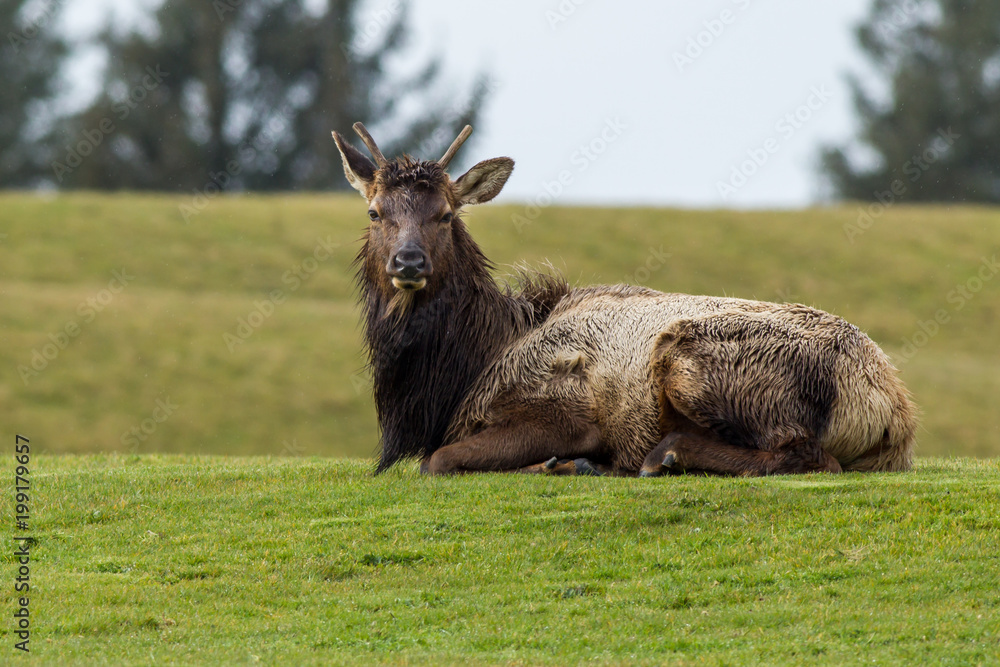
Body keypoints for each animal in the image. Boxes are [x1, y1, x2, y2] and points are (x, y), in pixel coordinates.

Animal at [332, 122, 917, 477]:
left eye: (446, 214)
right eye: (375, 212)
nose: (409, 262)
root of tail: (892, 409)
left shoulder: (567, 411)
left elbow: (437, 460)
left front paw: (565, 464)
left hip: (692, 357)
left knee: (807, 455)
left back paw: (664, 455)